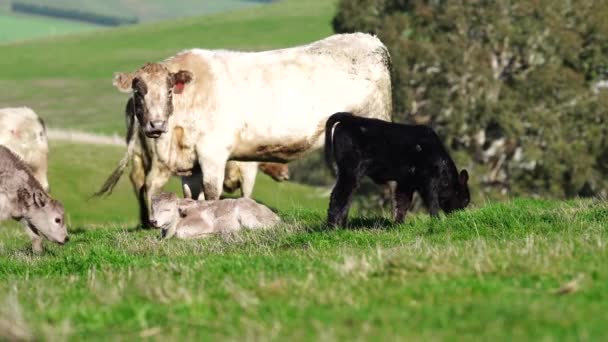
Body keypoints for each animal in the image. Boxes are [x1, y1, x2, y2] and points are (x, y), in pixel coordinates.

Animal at [110, 33, 394, 208]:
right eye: (139, 92)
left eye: (169, 90)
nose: (156, 125)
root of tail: (369, 39)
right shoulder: (191, 161)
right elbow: (191, 197)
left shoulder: (214, 153)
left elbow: (212, 194)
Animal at [324, 112, 470, 227]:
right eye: (466, 200)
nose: (460, 217)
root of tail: (350, 118)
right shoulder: (428, 183)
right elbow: (432, 203)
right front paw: (437, 221)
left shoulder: (406, 183)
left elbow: (402, 203)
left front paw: (399, 225)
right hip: (350, 171)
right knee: (338, 196)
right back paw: (333, 228)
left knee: (347, 198)